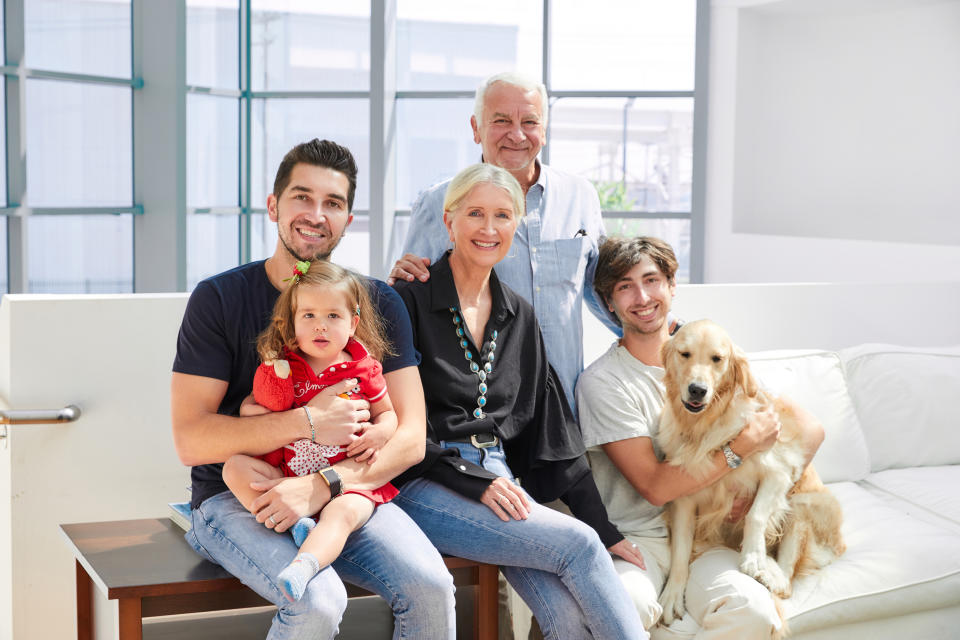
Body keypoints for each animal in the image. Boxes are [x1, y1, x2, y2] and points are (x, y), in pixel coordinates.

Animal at [656, 318, 844, 632]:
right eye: (684, 354)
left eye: (717, 359)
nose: (697, 390)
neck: (705, 427)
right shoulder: (683, 498)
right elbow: (680, 549)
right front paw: (672, 594)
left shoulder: (779, 472)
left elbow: (755, 514)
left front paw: (754, 557)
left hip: (803, 503)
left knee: (787, 582)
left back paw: (770, 571)